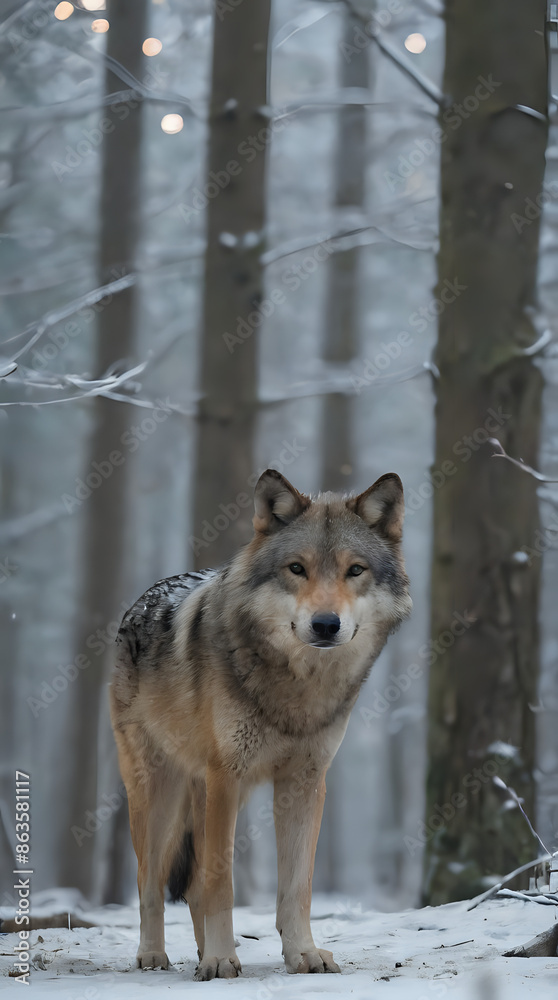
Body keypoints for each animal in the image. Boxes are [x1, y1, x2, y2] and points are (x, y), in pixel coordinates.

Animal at [109, 469, 411, 980]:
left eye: (355, 570)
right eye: (297, 568)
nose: (325, 624)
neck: (297, 688)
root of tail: (141, 601)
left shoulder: (306, 781)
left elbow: (297, 887)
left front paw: (303, 953)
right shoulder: (225, 777)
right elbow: (221, 883)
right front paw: (220, 958)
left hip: (207, 793)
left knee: (191, 885)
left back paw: (201, 954)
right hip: (160, 792)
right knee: (150, 880)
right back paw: (155, 955)